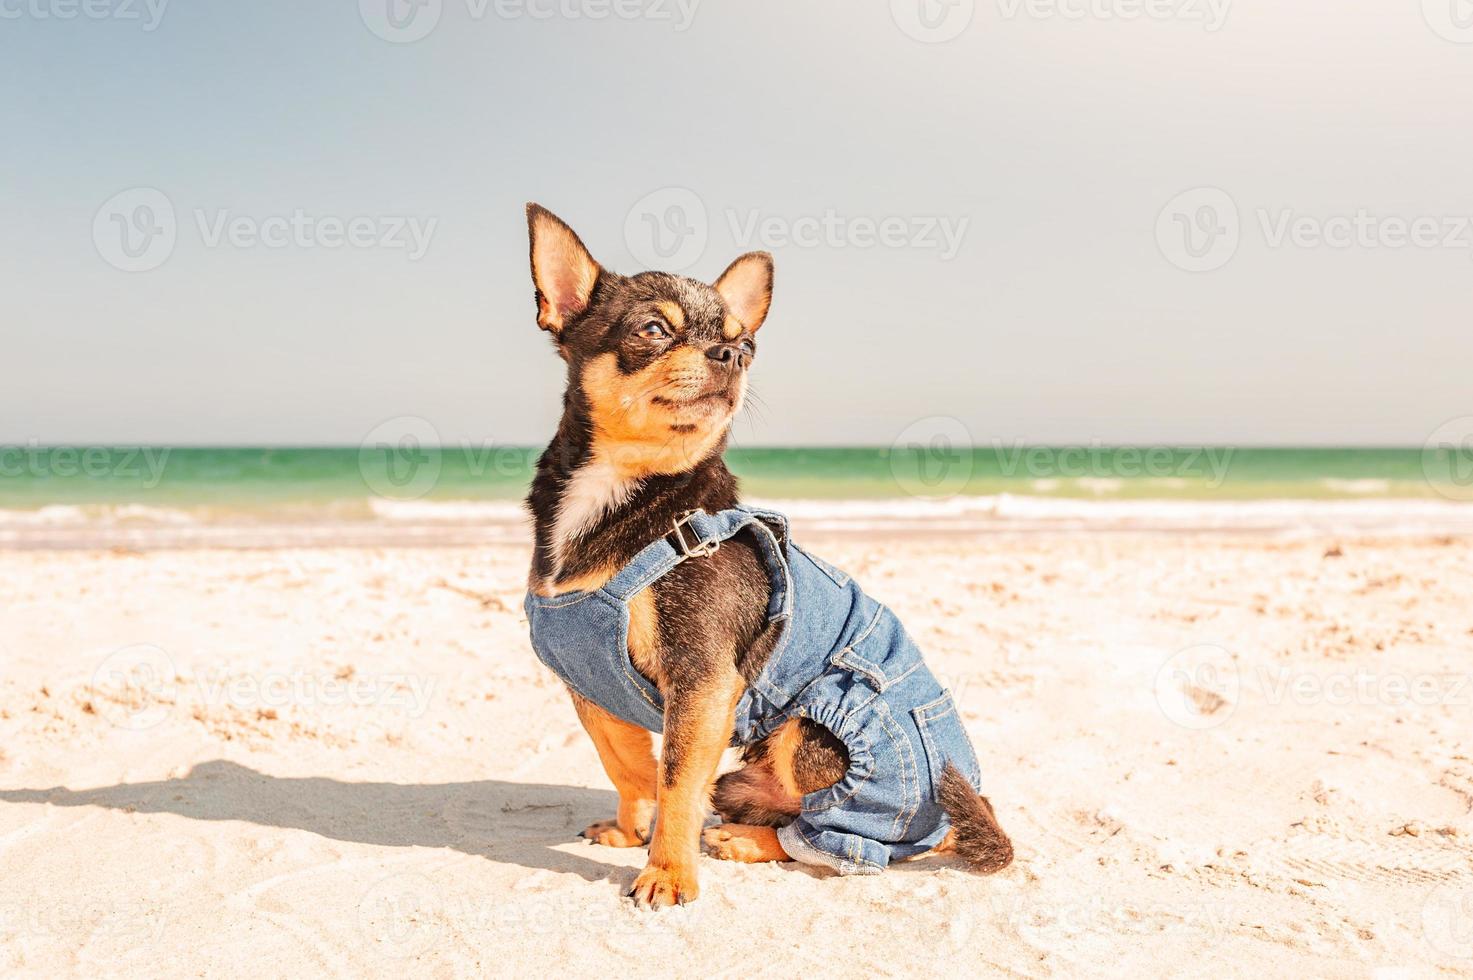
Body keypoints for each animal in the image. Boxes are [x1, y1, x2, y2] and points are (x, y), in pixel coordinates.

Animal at [521, 201, 1013, 907]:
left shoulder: (701, 679)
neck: (627, 485)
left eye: (746, 343)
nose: (733, 353)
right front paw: (631, 829)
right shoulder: (586, 678)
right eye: (653, 329)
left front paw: (667, 872)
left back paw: (748, 842)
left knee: (842, 841)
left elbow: (676, 781)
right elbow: (628, 762)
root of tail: (964, 809)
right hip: (746, 770)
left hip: (819, 729)